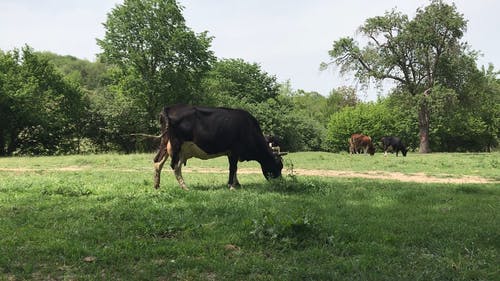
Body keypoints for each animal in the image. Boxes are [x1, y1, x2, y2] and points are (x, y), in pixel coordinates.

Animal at [152, 105, 286, 190]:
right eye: (278, 166)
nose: (280, 182)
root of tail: (170, 108)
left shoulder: (231, 153)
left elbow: (234, 169)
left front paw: (237, 184)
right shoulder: (234, 150)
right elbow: (233, 168)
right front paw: (231, 186)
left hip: (166, 144)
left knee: (158, 161)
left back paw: (157, 185)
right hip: (176, 145)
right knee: (175, 166)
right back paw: (184, 187)